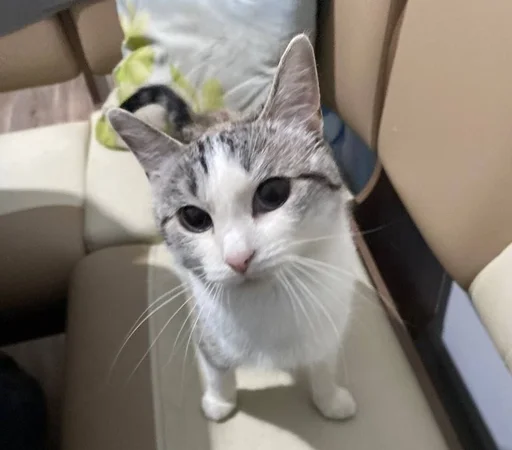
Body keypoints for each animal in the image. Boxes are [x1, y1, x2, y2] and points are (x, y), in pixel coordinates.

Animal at [108, 34, 358, 422]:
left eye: (272, 194)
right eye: (193, 218)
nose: (239, 258)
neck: (270, 300)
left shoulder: (331, 315)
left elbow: (324, 361)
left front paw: (329, 398)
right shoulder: (207, 325)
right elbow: (216, 367)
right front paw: (220, 401)